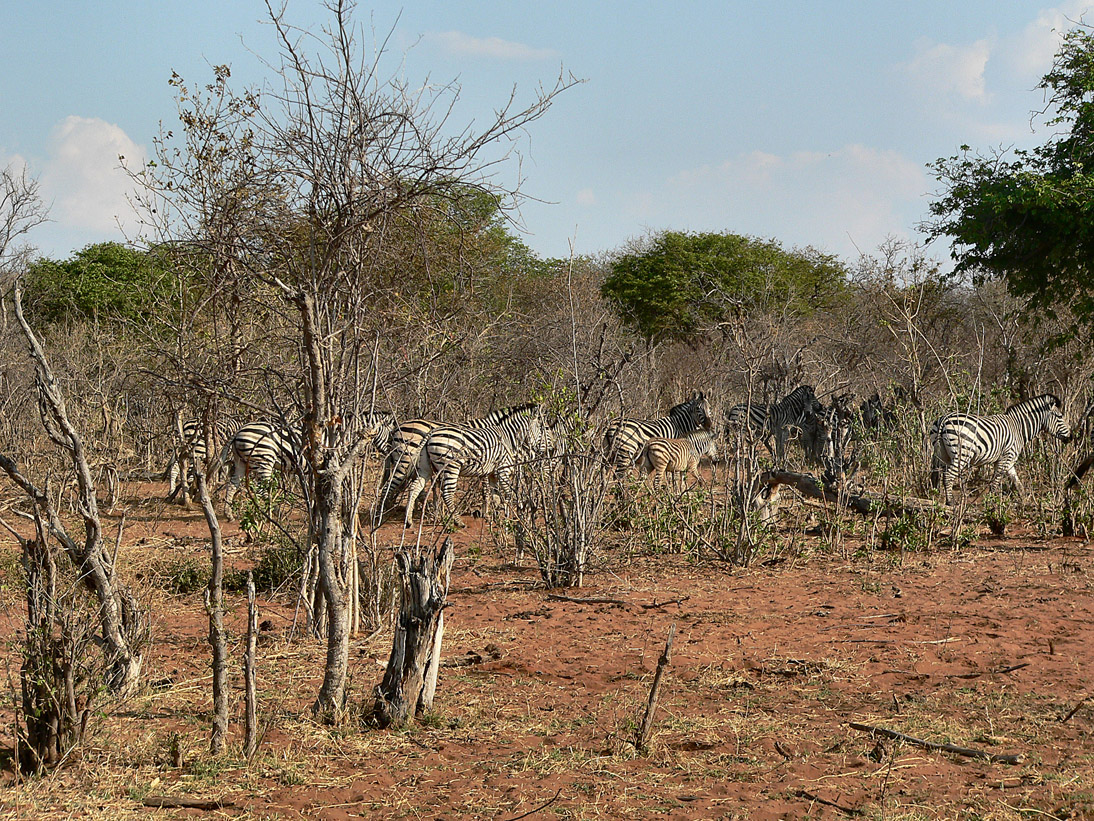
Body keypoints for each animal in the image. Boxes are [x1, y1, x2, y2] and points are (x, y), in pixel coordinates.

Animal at [927, 391, 1072, 501]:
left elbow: (1017, 482)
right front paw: (991, 503)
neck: (1018, 428)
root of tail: (943, 419)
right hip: (962, 453)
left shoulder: (1009, 460)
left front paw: (1025, 501)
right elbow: (995, 482)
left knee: (937, 475)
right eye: (1060, 416)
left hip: (942, 454)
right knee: (948, 476)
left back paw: (935, 497)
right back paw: (950, 502)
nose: (1071, 438)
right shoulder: (1006, 457)